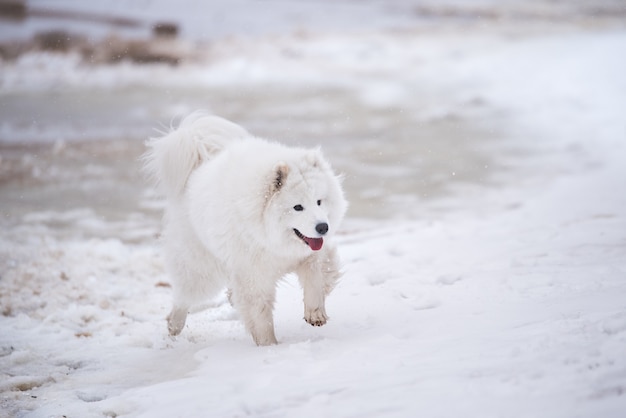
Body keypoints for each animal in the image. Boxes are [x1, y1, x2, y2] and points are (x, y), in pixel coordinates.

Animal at [143, 112, 346, 344]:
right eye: (298, 207)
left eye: (319, 202)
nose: (323, 227)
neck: (270, 237)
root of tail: (197, 170)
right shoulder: (253, 276)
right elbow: (261, 316)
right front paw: (270, 345)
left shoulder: (311, 254)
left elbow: (315, 278)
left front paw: (315, 313)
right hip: (200, 267)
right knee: (184, 295)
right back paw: (174, 325)